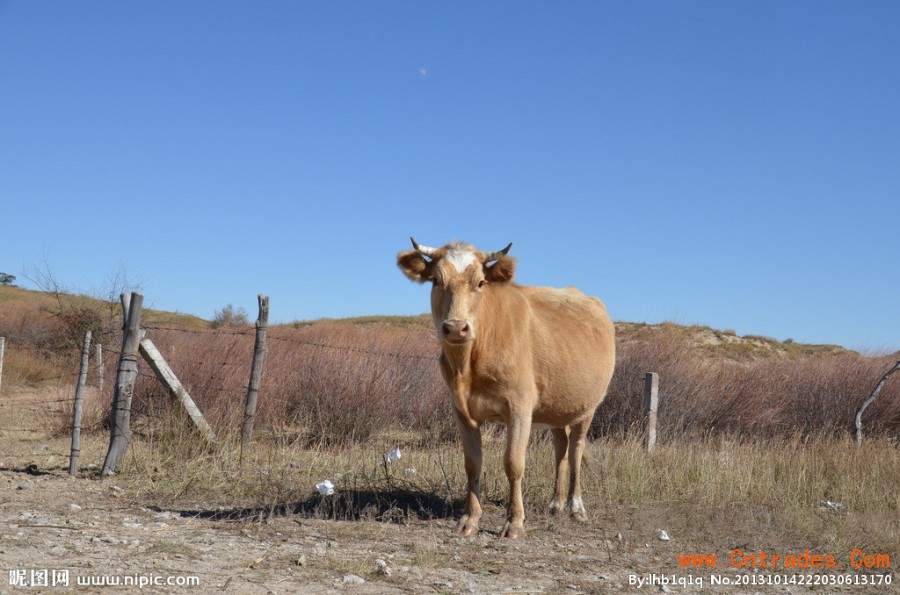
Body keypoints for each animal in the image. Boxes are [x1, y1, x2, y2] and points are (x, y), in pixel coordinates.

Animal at [398, 239, 616, 540]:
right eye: (435, 281)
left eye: (480, 283)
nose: (456, 327)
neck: (468, 366)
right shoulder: (461, 410)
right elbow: (472, 464)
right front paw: (470, 519)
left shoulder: (520, 407)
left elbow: (513, 463)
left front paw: (514, 522)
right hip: (556, 408)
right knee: (560, 448)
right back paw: (556, 503)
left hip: (588, 407)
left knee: (576, 450)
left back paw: (576, 507)